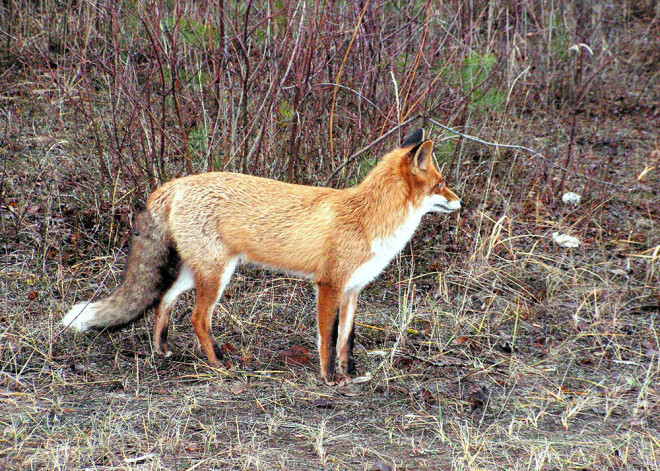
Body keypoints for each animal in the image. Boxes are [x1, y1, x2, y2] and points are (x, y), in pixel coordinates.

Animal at [64, 128, 462, 384]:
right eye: (441, 184)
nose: (461, 201)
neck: (366, 219)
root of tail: (175, 183)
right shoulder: (329, 286)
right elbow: (328, 339)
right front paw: (329, 379)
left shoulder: (353, 290)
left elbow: (347, 341)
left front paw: (350, 375)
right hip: (217, 275)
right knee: (197, 317)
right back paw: (218, 363)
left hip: (199, 271)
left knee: (164, 299)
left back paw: (161, 349)